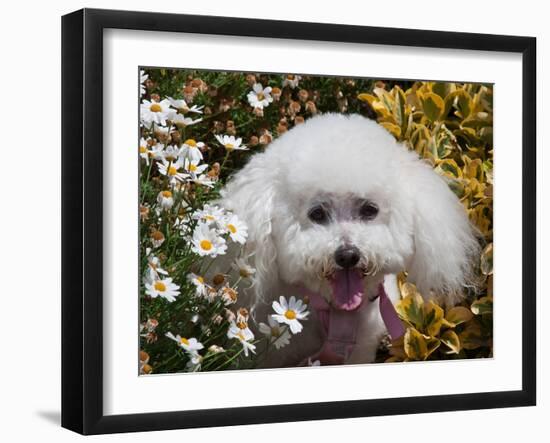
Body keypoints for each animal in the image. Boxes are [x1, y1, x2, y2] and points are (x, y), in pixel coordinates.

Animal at [220, 113, 478, 368]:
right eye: (317, 213)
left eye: (369, 210)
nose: (347, 256)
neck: (337, 313)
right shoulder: (273, 354)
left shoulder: (360, 349)